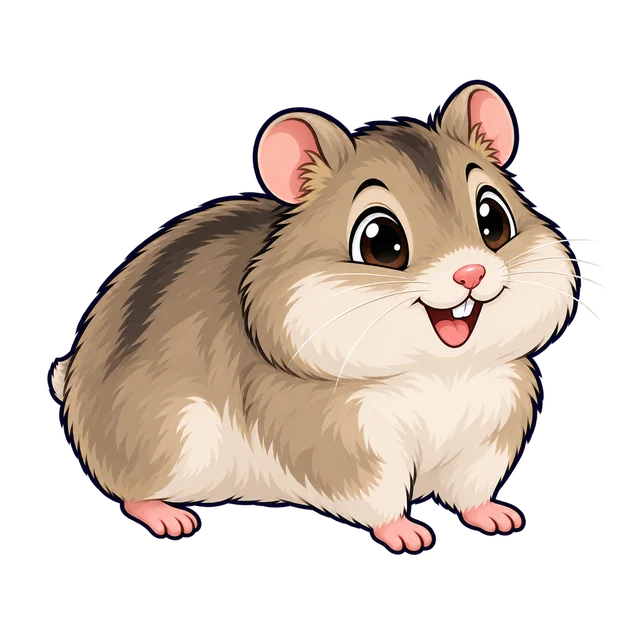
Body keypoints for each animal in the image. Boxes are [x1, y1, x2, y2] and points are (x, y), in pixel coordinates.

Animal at [48, 81, 582, 552]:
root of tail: (72, 387)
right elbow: (378, 497)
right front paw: (409, 536)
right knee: (128, 491)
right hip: (170, 445)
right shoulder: (344, 445)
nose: (471, 272)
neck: (437, 370)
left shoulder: (489, 437)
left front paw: (501, 519)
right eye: (381, 242)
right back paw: (170, 519)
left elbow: (472, 492)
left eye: (494, 221)